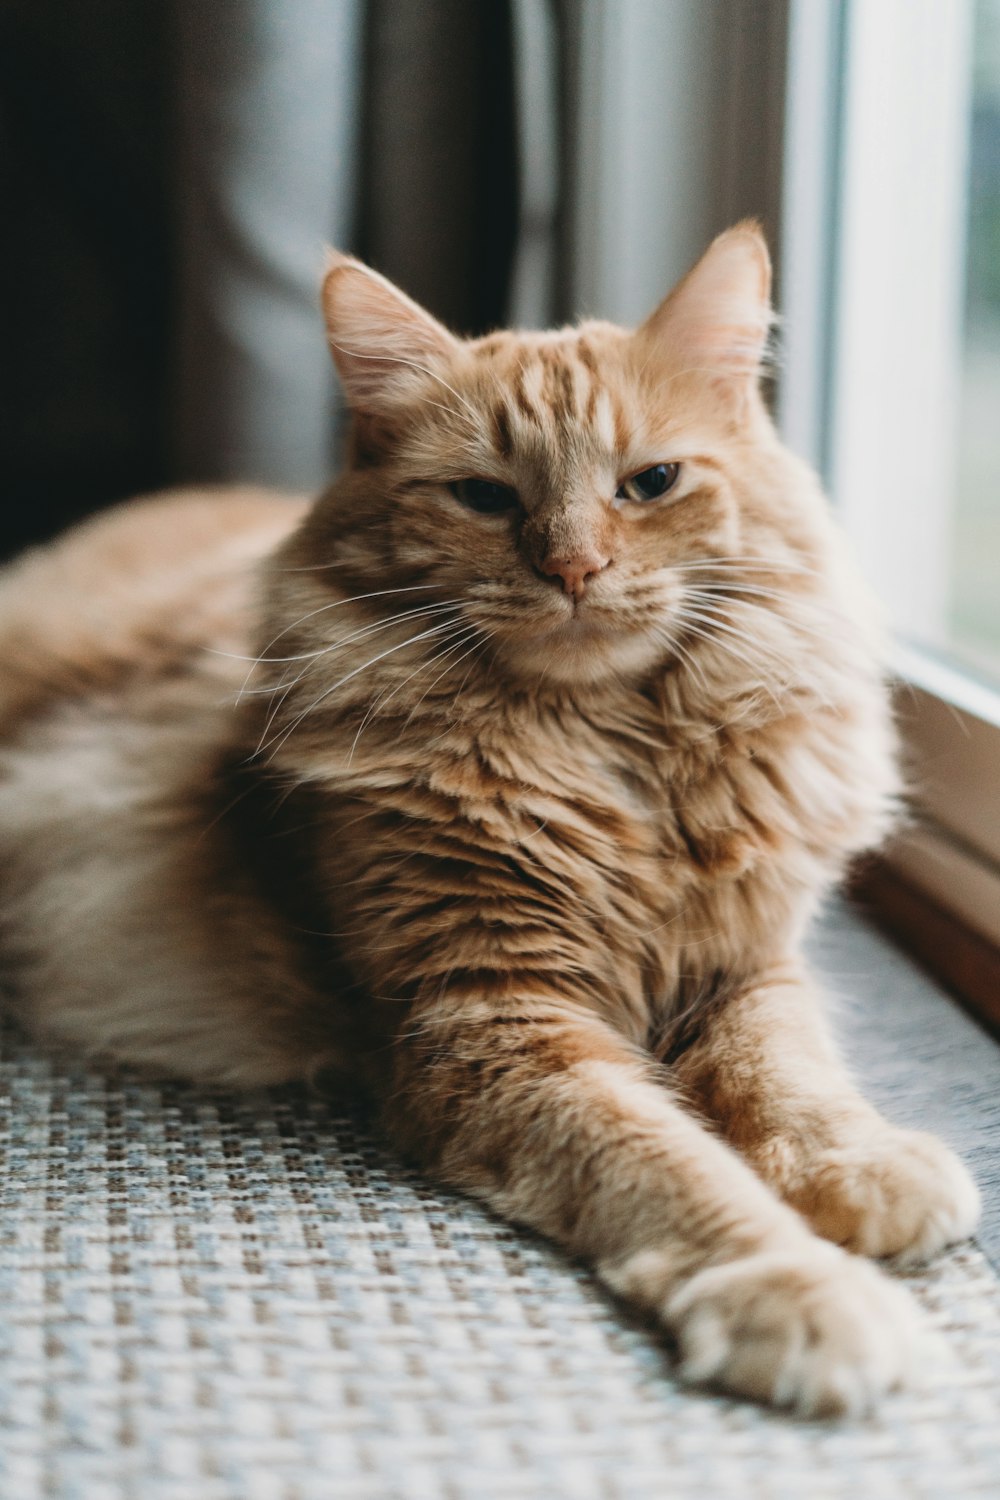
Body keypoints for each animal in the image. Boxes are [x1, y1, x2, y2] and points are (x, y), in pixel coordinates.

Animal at [0, 222, 977, 1416]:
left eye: (650, 484)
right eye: (482, 497)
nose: (574, 567)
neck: (611, 761)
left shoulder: (742, 968)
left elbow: (790, 1082)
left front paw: (859, 1167)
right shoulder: (491, 1020)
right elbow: (672, 1166)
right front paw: (797, 1290)